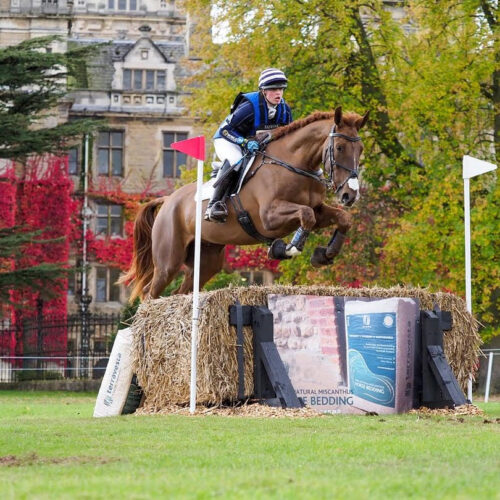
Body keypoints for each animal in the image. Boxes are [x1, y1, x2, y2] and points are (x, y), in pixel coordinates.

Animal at [123, 106, 370, 300]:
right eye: (339, 147)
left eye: (360, 150)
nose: (350, 195)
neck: (296, 164)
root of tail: (168, 200)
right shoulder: (269, 217)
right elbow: (305, 215)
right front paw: (285, 249)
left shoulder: (319, 210)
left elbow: (341, 218)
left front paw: (325, 254)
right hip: (169, 260)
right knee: (149, 292)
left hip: (207, 259)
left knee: (180, 293)